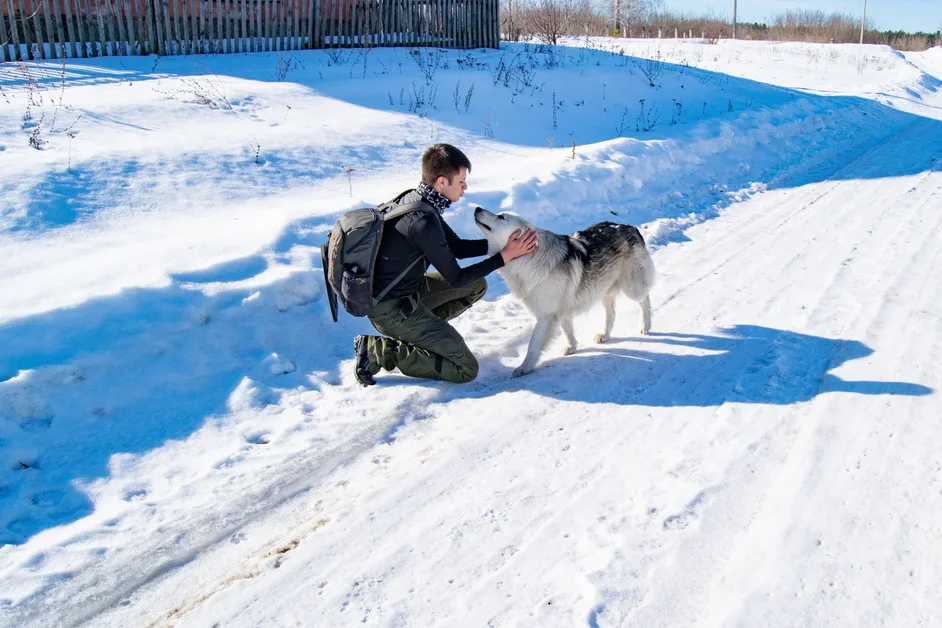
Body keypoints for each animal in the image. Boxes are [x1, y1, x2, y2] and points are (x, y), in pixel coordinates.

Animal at [476, 206, 652, 376]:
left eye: (501, 217)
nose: (477, 208)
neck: (529, 258)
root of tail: (629, 227)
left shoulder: (546, 317)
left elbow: (533, 345)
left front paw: (524, 367)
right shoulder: (561, 311)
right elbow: (568, 331)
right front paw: (572, 347)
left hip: (632, 289)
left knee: (645, 300)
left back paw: (646, 325)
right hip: (604, 291)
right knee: (611, 314)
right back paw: (604, 335)